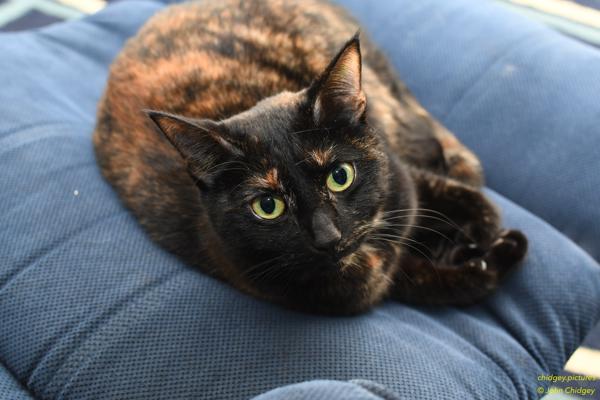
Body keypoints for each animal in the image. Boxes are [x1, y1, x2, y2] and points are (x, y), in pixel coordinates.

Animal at [91, 0, 528, 314]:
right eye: (268, 206)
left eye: (340, 176)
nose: (327, 236)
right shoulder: (366, 285)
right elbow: (445, 283)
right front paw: (484, 254)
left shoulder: (405, 177)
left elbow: (466, 198)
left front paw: (476, 234)